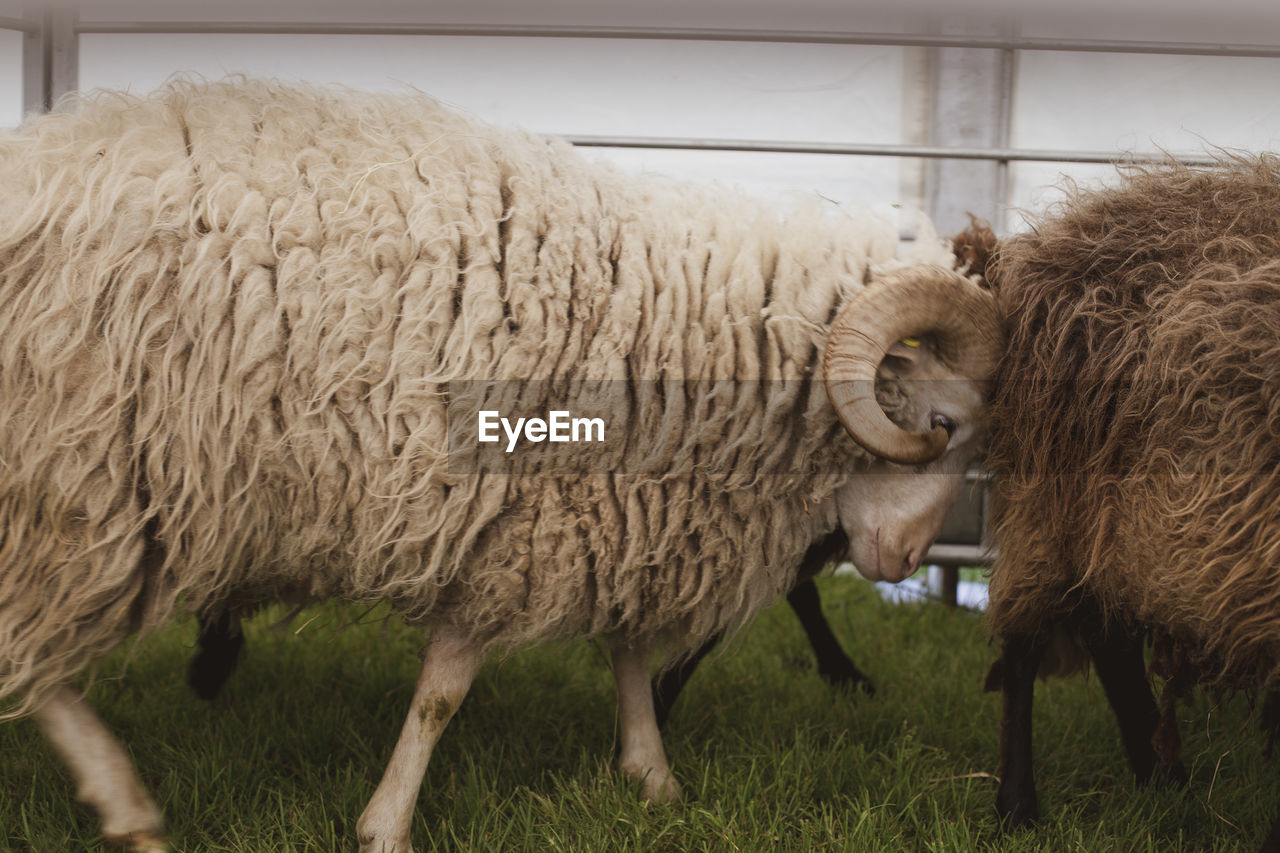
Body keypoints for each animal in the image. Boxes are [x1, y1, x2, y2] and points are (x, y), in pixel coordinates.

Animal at [0, 79, 998, 850]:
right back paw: (128, 807)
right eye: (943, 423)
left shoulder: (605, 514)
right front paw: (387, 824)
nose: (911, 561)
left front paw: (652, 777)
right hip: (76, 483)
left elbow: (627, 648)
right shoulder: (514, 527)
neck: (680, 326)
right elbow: (443, 693)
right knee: (37, 657)